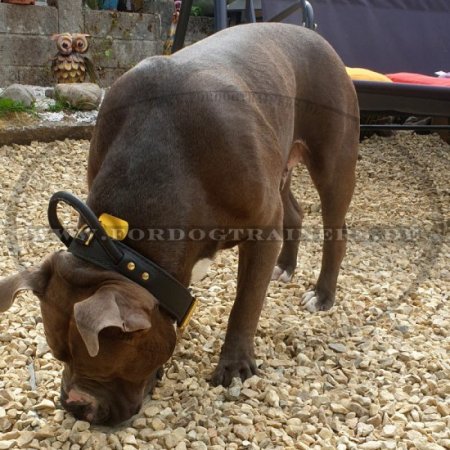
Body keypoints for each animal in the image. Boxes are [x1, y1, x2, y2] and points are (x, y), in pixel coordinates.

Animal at [0, 23, 358, 426]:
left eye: (104, 362)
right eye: (59, 354)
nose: (74, 406)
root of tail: (310, 32)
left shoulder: (263, 229)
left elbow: (246, 303)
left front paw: (235, 366)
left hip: (333, 162)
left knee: (335, 228)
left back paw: (323, 295)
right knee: (293, 212)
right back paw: (285, 267)